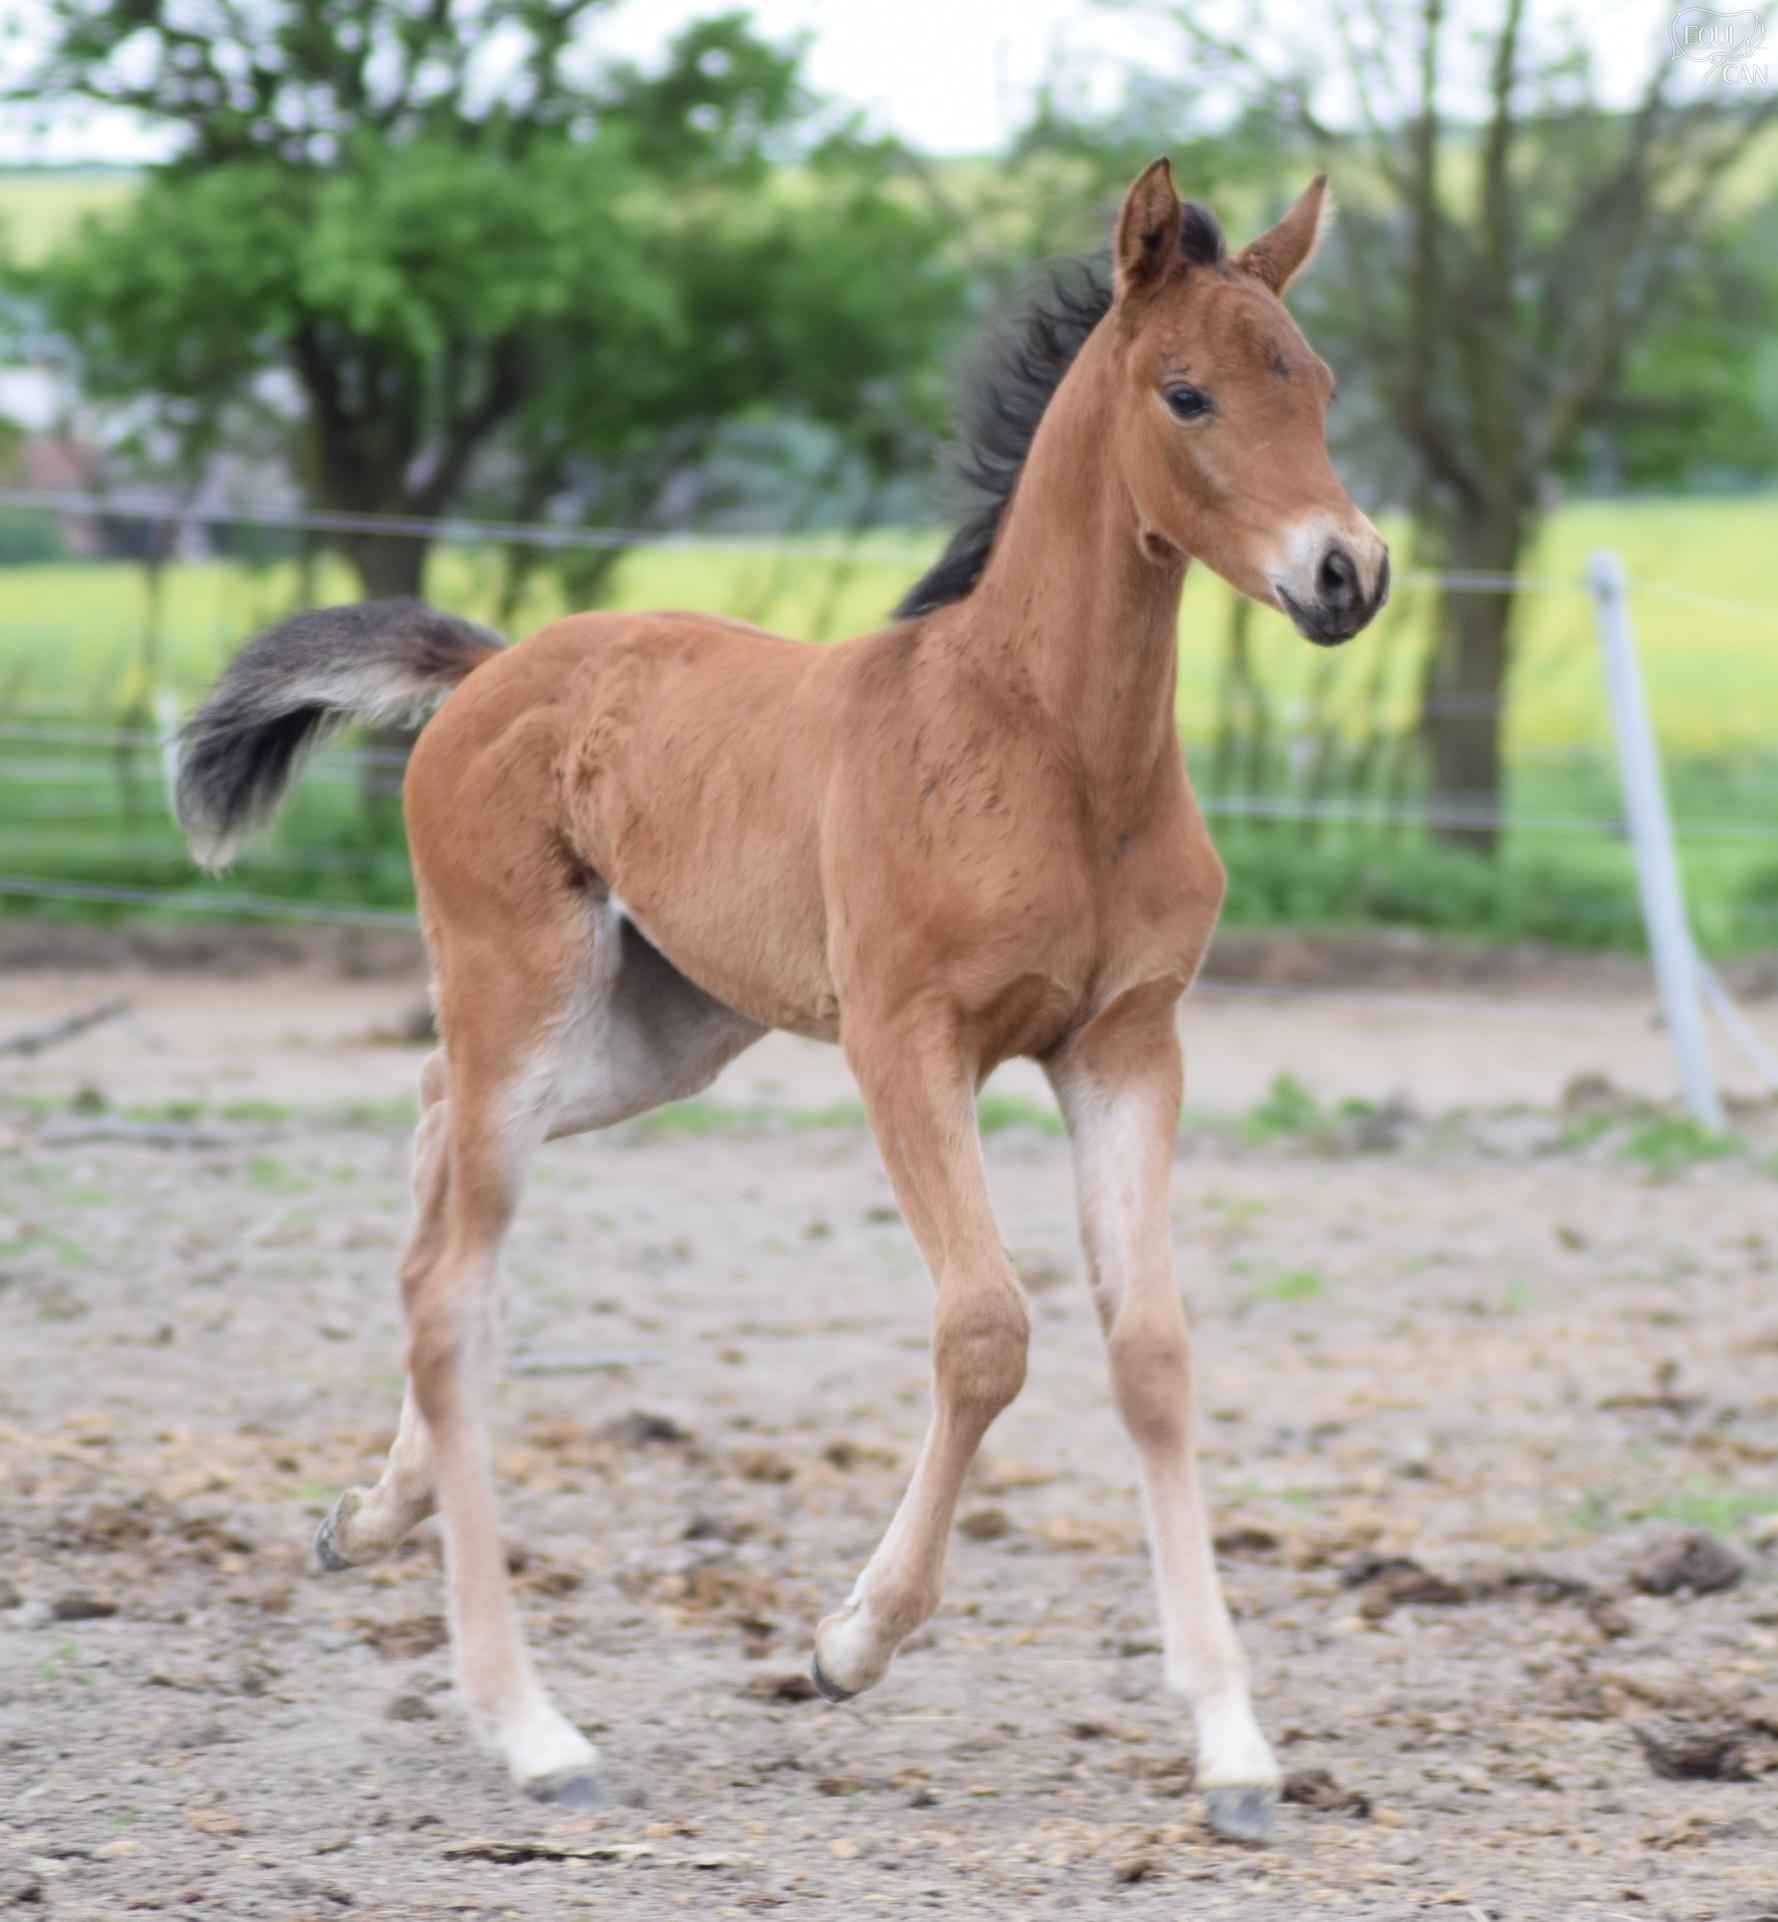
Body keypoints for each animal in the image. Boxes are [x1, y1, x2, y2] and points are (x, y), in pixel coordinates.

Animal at [174, 159, 1389, 1843]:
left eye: (1318, 383)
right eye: (1187, 391)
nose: (1346, 574)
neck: (1051, 746)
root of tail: (488, 670)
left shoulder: (1125, 1047)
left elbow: (1149, 1349)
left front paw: (1232, 1745)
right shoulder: (905, 1039)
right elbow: (986, 1331)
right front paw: (847, 1641)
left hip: (651, 1034)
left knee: (427, 1145)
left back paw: (373, 1510)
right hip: (525, 985)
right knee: (453, 1293)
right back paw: (532, 1728)